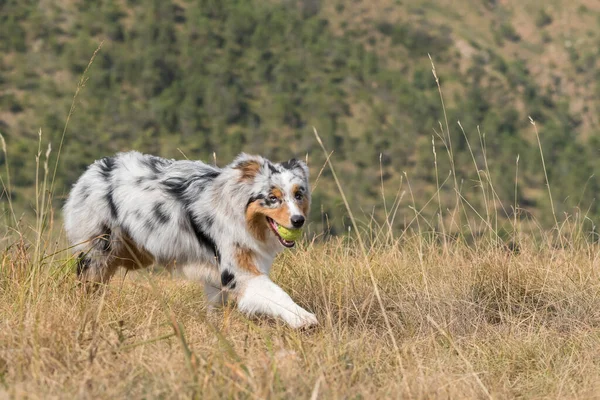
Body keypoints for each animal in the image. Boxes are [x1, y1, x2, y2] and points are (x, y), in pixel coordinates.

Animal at [63, 150, 318, 328]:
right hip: (98, 252)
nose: (298, 220)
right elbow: (276, 293)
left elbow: (216, 305)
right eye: (273, 198)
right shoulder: (239, 273)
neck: (236, 209)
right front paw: (303, 317)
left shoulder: (218, 276)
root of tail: (94, 168)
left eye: (299, 194)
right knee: (86, 286)